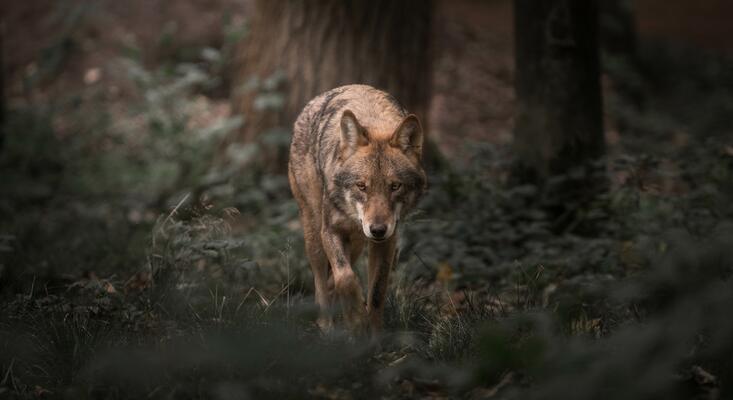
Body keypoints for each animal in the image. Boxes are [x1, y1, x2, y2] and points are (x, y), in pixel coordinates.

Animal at [288, 84, 427, 335]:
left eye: (395, 186)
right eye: (362, 186)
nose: (378, 229)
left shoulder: (387, 241)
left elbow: (377, 292)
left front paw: (372, 334)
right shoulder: (330, 231)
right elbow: (345, 278)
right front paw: (357, 321)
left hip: (357, 242)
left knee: (334, 277)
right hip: (314, 232)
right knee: (321, 281)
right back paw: (326, 326)